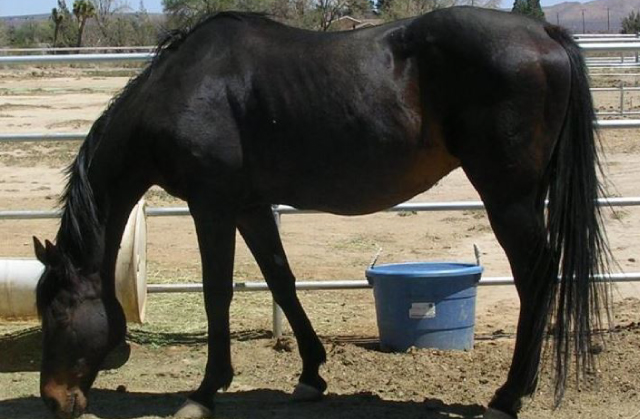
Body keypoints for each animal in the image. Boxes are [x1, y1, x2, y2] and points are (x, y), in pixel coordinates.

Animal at [32, 6, 611, 419]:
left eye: (57, 312)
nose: (54, 401)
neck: (183, 88)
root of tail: (546, 32)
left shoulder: (211, 205)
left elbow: (217, 292)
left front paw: (205, 391)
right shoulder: (250, 206)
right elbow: (281, 280)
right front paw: (311, 374)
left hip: (507, 198)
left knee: (536, 276)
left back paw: (508, 397)